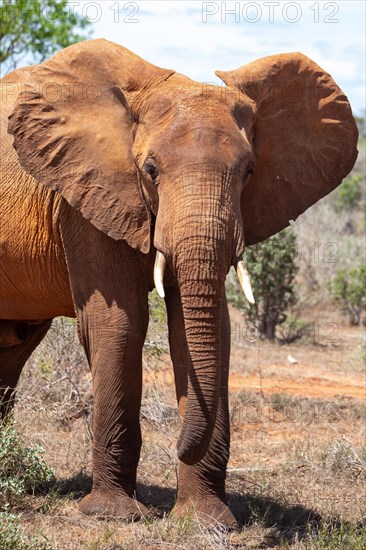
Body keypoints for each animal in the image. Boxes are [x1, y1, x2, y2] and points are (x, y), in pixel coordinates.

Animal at [0, 40, 358, 532]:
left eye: (249, 171)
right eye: (150, 169)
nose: (177, 444)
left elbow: (200, 329)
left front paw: (208, 522)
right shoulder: (83, 193)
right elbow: (119, 321)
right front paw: (113, 515)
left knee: (13, 344)